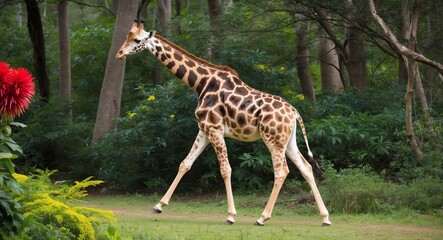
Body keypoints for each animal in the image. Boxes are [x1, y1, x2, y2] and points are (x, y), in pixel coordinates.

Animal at [116, 19, 332, 226]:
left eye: (137, 40)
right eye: (127, 36)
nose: (119, 54)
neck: (200, 83)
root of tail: (294, 112)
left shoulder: (215, 129)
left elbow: (225, 170)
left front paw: (231, 216)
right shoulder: (204, 129)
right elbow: (185, 164)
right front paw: (159, 206)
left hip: (273, 140)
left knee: (281, 171)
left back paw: (262, 218)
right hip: (288, 141)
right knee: (306, 168)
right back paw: (325, 218)